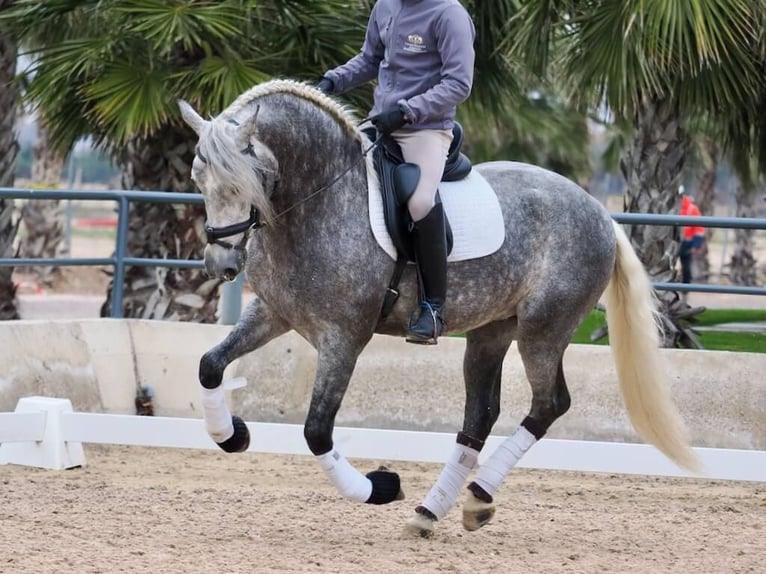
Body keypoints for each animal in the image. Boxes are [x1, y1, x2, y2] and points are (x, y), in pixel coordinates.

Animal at [177, 79, 700, 536]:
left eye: (248, 178)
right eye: (198, 177)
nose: (222, 264)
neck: (320, 202)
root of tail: (600, 213)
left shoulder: (344, 337)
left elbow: (317, 431)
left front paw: (380, 487)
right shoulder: (273, 314)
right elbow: (209, 365)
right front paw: (231, 435)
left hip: (544, 328)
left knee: (549, 403)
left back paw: (477, 495)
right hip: (492, 330)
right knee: (479, 415)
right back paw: (435, 510)